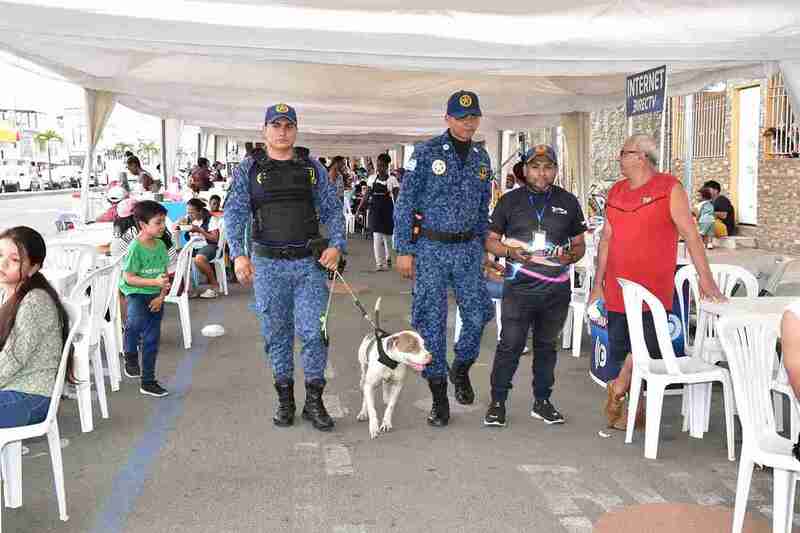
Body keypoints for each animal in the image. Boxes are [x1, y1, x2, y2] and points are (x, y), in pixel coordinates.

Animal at [356, 298, 432, 438]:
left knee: (386, 385)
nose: (430, 357)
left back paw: (386, 397)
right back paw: (363, 412)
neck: (390, 360)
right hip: (364, 372)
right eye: (412, 346)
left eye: (424, 344)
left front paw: (386, 423)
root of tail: (375, 331)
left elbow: (391, 406)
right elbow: (372, 408)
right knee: (365, 392)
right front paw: (373, 427)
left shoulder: (398, 385)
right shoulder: (370, 385)